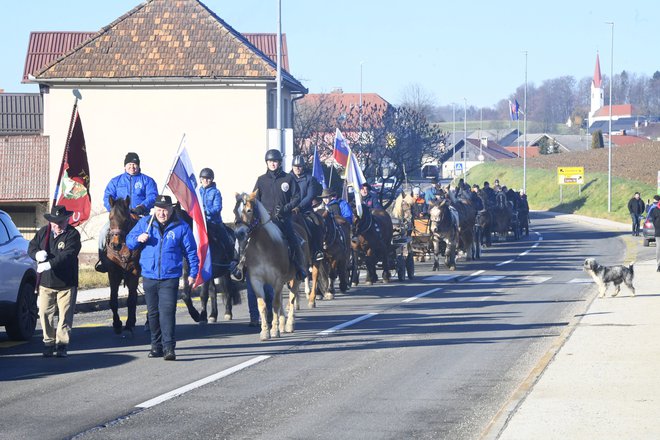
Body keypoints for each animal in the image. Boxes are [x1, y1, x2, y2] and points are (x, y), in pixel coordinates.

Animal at [103, 196, 141, 334]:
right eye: (110, 218)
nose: (115, 245)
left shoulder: (134, 272)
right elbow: (113, 300)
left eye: (125, 219)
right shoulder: (113, 273)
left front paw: (128, 324)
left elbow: (131, 300)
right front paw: (117, 323)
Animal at [233, 192, 302, 340]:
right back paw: (282, 325)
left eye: (249, 210)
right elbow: (262, 305)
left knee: (291, 298)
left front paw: (274, 330)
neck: (263, 247)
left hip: (295, 278)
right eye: (235, 211)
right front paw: (265, 331)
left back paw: (289, 325)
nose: (239, 233)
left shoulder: (278, 280)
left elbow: (275, 304)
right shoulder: (256, 280)